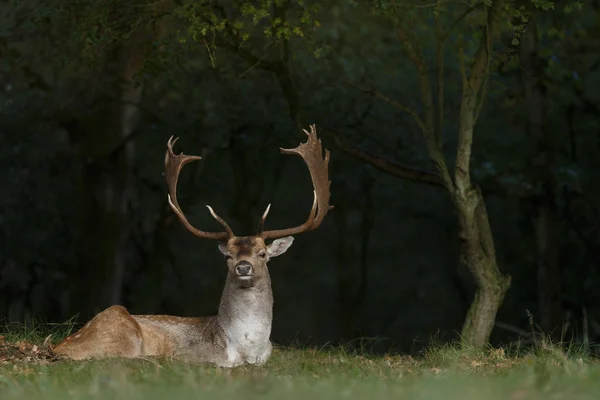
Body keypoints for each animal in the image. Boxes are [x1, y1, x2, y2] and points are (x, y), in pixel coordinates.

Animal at [52, 123, 332, 368]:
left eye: (262, 254)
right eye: (228, 256)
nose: (243, 267)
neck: (248, 349)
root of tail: (58, 347)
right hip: (120, 328)